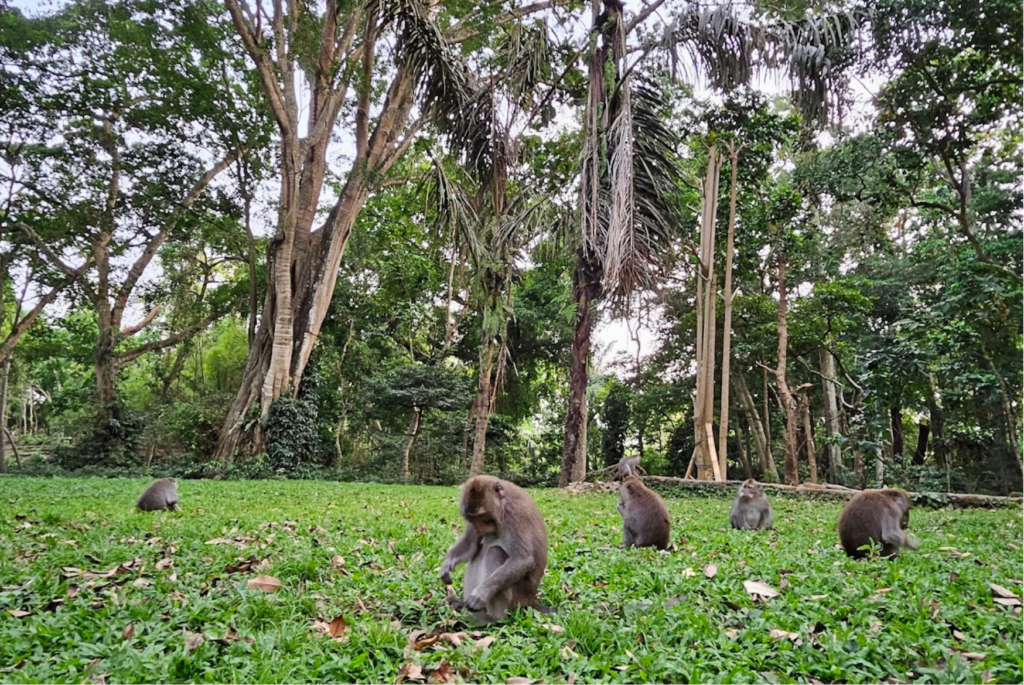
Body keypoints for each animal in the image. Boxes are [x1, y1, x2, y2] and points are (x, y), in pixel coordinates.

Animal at [442, 473, 552, 622]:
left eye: (482, 516)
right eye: (472, 519)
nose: (479, 528)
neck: (502, 507)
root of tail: (529, 601)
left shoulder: (515, 515)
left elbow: (522, 559)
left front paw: (480, 594)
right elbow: (471, 544)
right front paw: (447, 565)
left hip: (517, 599)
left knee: (495, 551)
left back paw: (493, 619)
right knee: (480, 552)